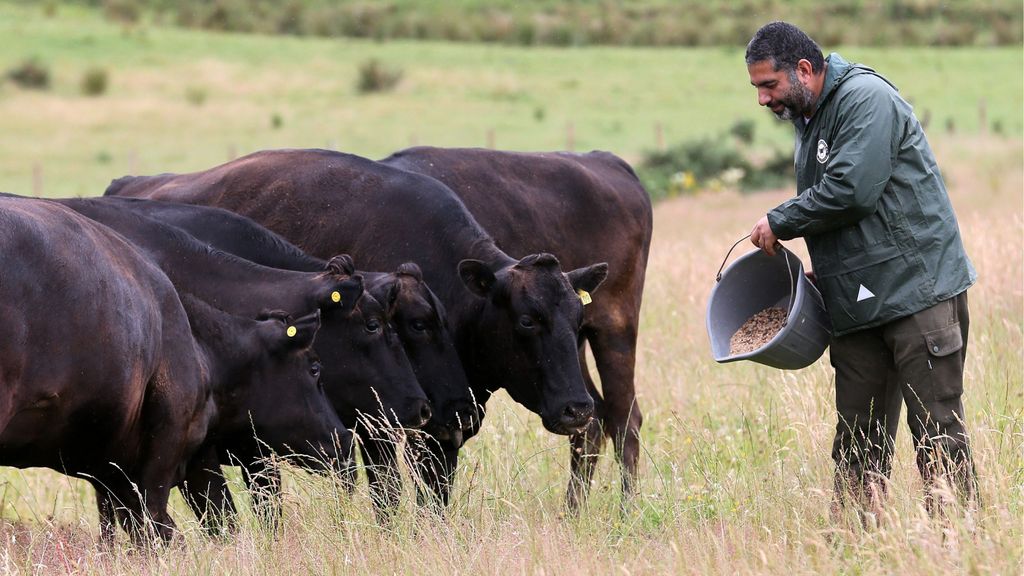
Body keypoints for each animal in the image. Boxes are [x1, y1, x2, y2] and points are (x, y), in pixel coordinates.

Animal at [103, 145, 606, 504]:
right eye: (527, 319)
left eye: (579, 320)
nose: (578, 409)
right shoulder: (378, 426)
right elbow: (388, 493)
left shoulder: (445, 422)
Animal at [378, 146, 655, 506]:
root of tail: (605, 161)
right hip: (575, 354)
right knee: (592, 422)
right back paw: (572, 511)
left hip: (614, 329)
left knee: (624, 420)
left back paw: (627, 510)